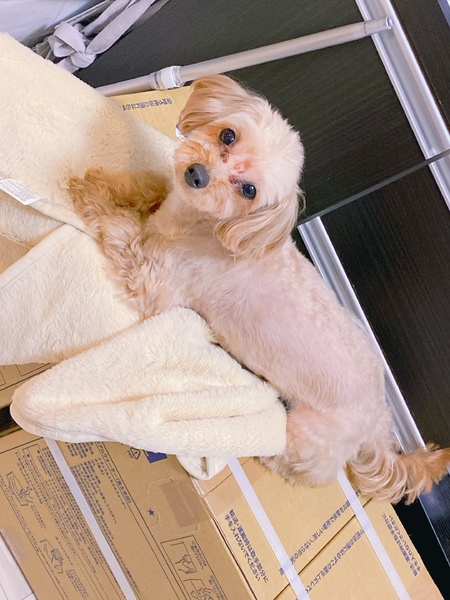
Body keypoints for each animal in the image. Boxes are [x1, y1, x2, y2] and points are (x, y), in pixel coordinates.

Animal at [70, 75, 450, 503]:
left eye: (249, 191)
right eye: (228, 135)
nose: (197, 174)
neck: (207, 226)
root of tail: (379, 423)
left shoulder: (157, 282)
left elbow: (123, 231)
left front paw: (94, 199)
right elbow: (147, 188)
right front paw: (107, 183)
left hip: (305, 437)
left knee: (300, 463)